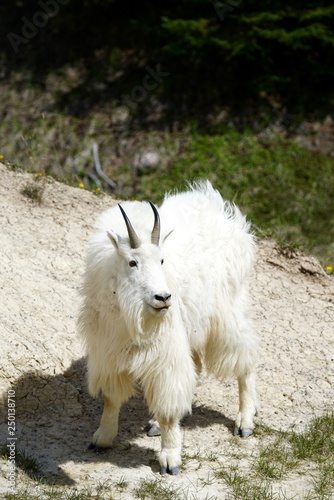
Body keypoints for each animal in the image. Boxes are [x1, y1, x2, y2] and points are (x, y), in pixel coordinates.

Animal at [78, 179, 258, 472]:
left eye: (162, 260)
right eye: (132, 262)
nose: (163, 298)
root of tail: (221, 210)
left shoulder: (165, 351)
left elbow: (168, 402)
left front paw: (170, 458)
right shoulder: (108, 349)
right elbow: (111, 397)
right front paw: (102, 438)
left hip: (227, 313)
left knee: (245, 359)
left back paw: (245, 420)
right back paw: (153, 424)